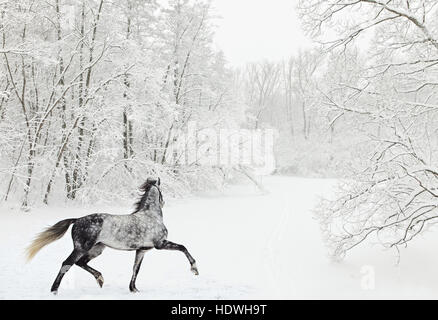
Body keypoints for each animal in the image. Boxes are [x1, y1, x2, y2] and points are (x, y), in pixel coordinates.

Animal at [24, 179, 199, 294]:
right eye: (162, 192)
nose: (164, 202)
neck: (150, 216)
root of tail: (77, 220)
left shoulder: (142, 250)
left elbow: (136, 269)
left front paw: (134, 289)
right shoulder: (160, 244)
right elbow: (183, 247)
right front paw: (195, 269)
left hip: (97, 249)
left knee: (80, 263)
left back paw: (100, 279)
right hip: (82, 248)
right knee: (67, 264)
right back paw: (54, 291)